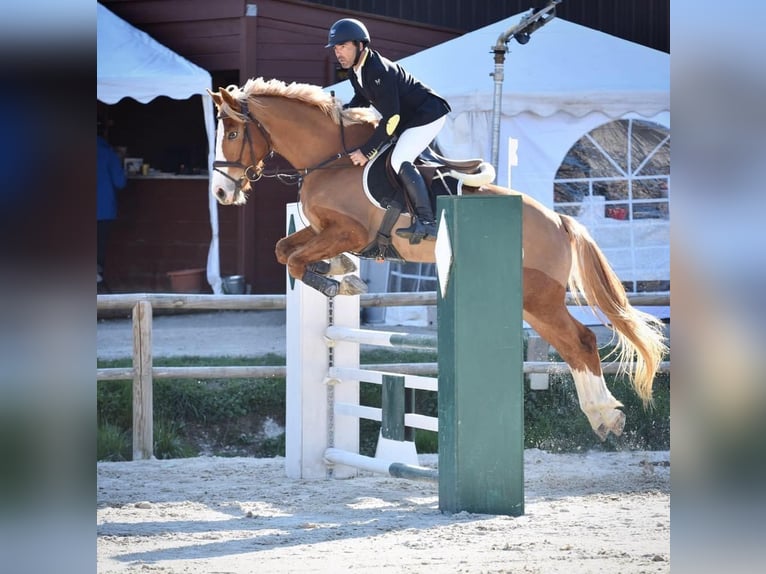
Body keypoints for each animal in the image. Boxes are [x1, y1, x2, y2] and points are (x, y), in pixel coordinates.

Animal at [208, 79, 664, 444]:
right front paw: (340, 272)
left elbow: (297, 261)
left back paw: (606, 417)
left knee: (581, 341)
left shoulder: (348, 232)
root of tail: (559, 220)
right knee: (571, 345)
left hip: (539, 298)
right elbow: (285, 250)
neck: (332, 159)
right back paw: (603, 416)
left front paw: (338, 281)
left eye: (232, 132)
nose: (221, 194)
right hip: (531, 300)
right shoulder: (323, 231)